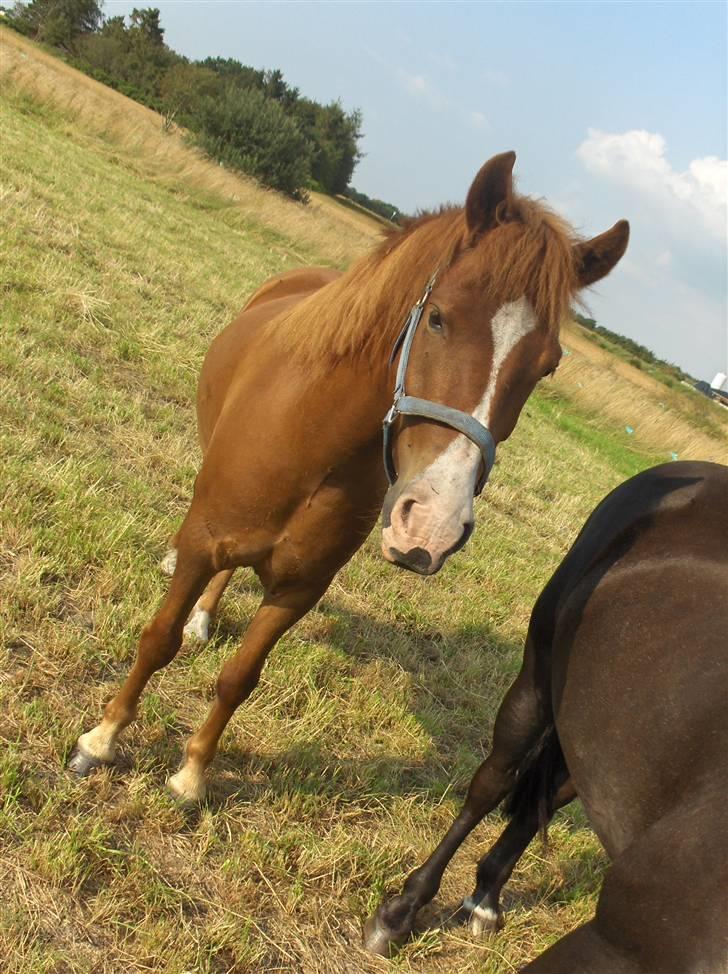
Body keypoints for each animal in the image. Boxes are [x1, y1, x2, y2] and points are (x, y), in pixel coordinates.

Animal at [67, 154, 624, 808]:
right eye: (438, 318)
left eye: (548, 365)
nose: (431, 525)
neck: (313, 439)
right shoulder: (206, 540)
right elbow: (158, 639)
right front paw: (100, 740)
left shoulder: (299, 588)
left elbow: (239, 678)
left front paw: (191, 774)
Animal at [364, 460, 728, 974]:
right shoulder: (612, 943)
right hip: (537, 676)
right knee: (492, 784)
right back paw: (401, 912)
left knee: (547, 797)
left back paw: (485, 900)